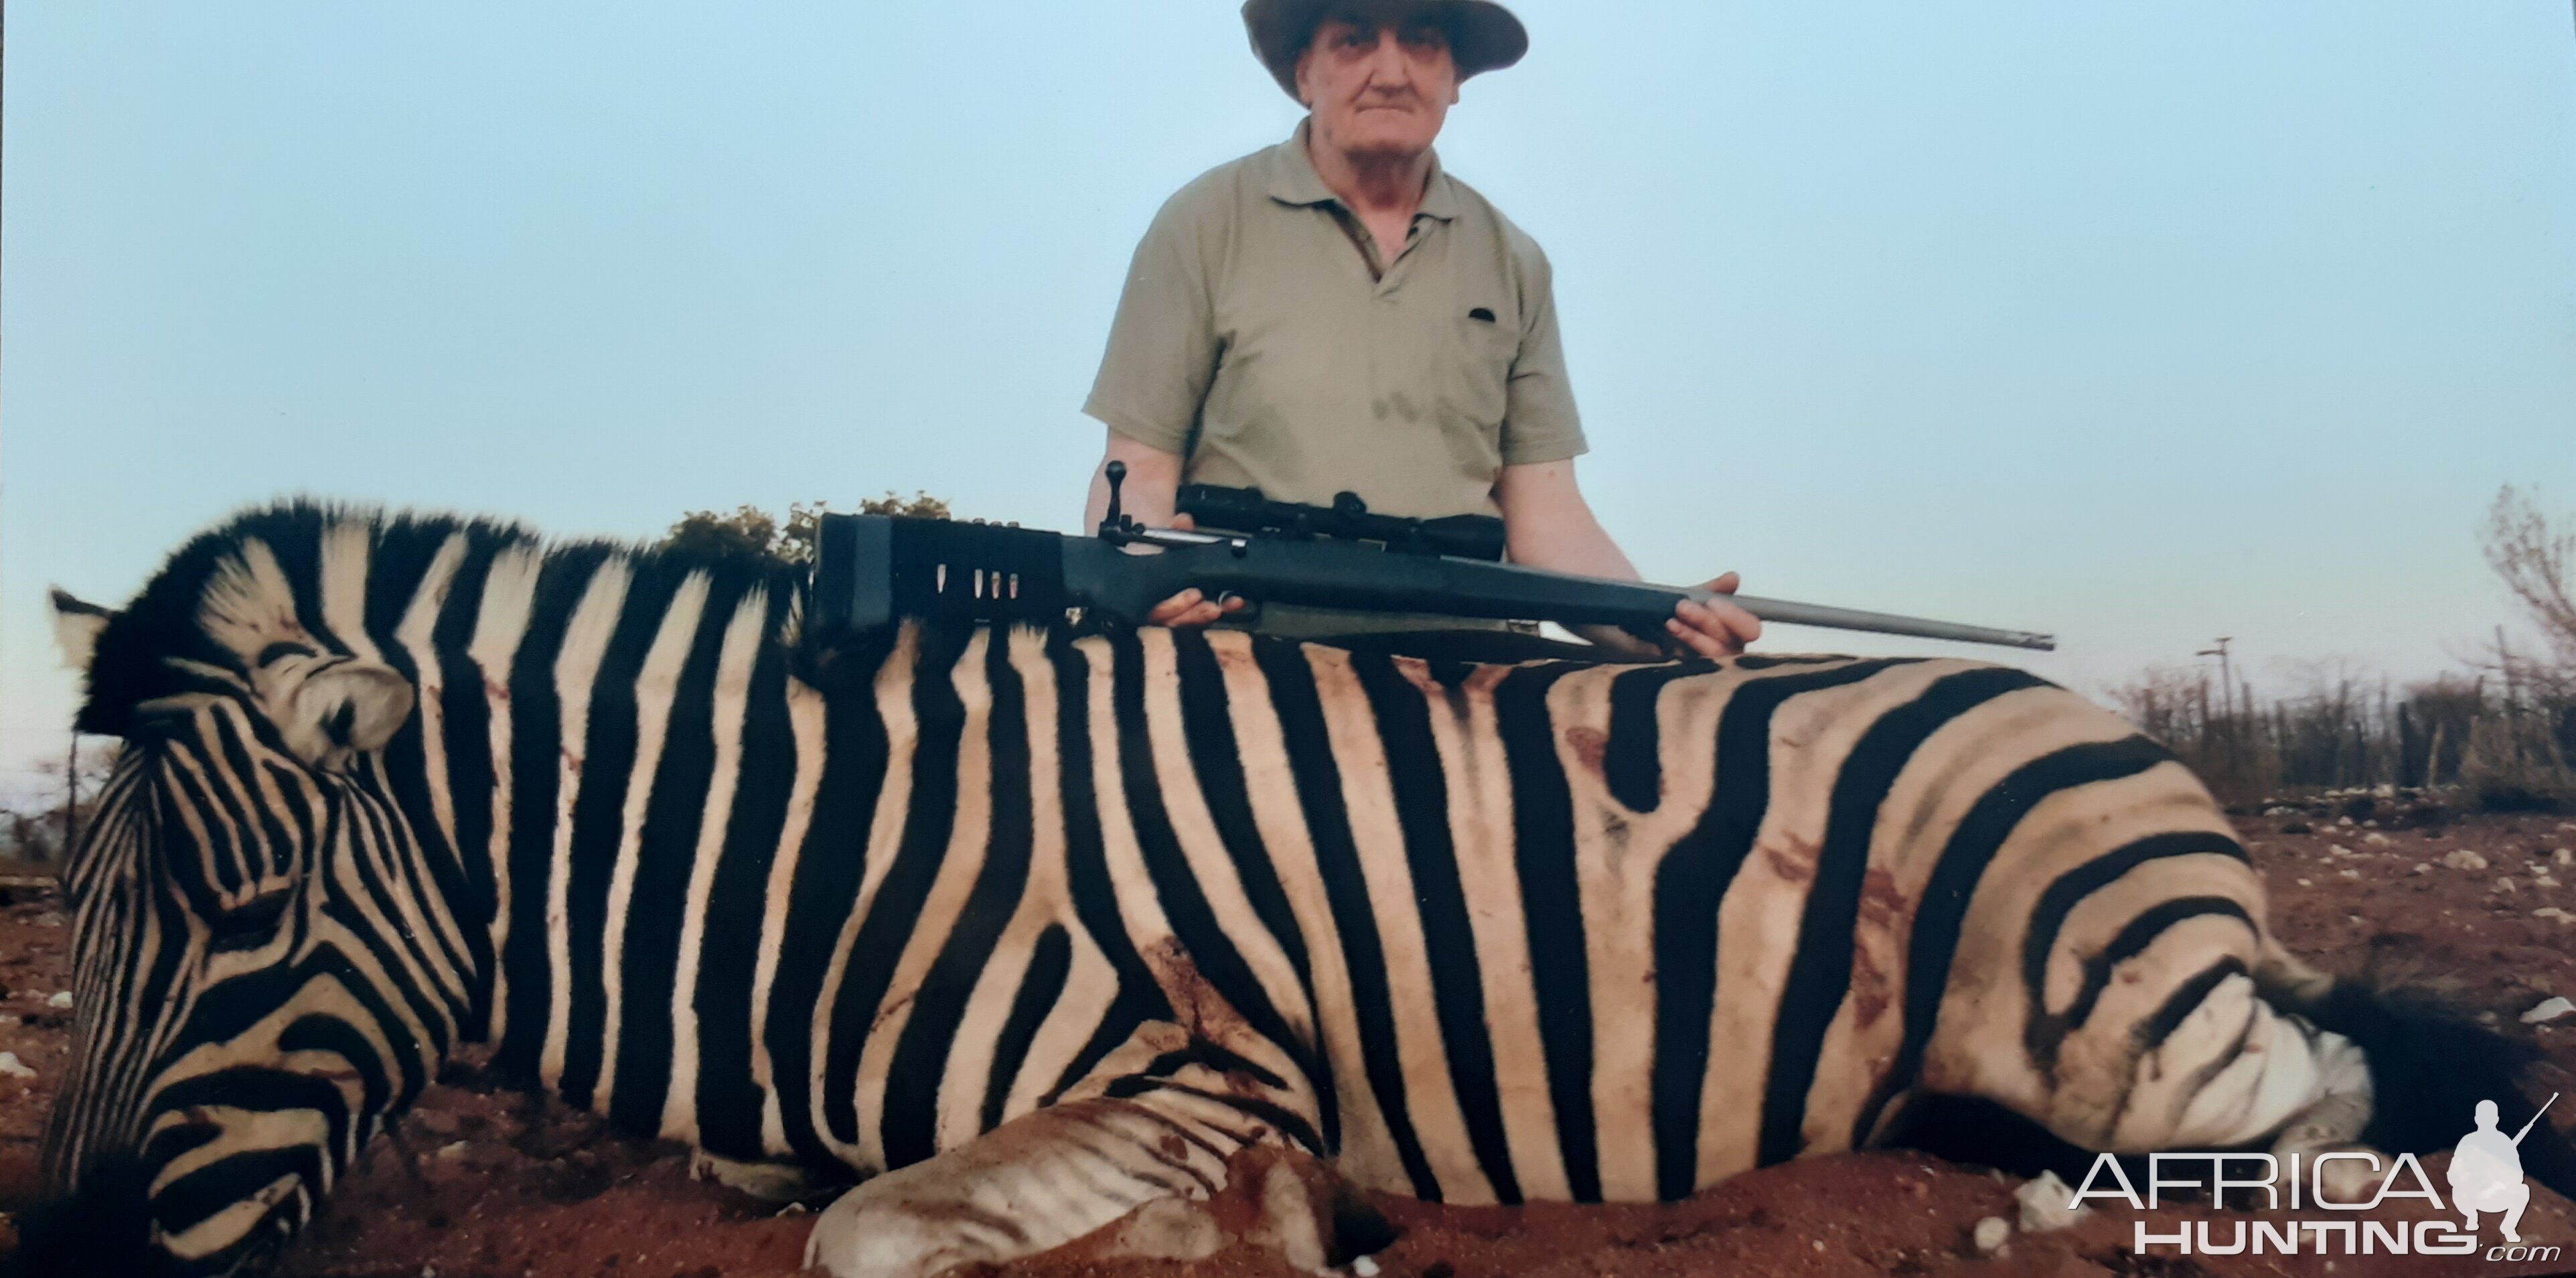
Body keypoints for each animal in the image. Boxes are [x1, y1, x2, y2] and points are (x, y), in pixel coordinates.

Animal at [25, 504, 2576, 1273]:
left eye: (231, 920)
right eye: (101, 919)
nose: (51, 1251)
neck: (814, 873)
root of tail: (2132, 742)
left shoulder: (1198, 1056)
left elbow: (875, 1232)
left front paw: (1279, 1233)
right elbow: (793, 1184)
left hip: (2139, 1028)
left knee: (2337, 1104)